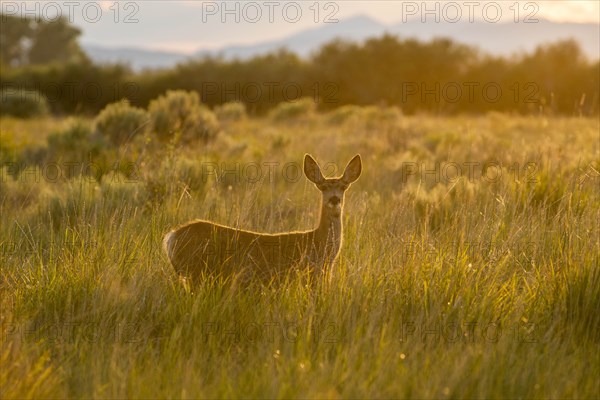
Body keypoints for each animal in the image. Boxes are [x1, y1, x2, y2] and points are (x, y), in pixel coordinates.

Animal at [162, 154, 364, 284]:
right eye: (322, 186)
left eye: (344, 186)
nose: (334, 199)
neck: (323, 249)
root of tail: (172, 237)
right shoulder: (310, 274)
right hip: (196, 272)